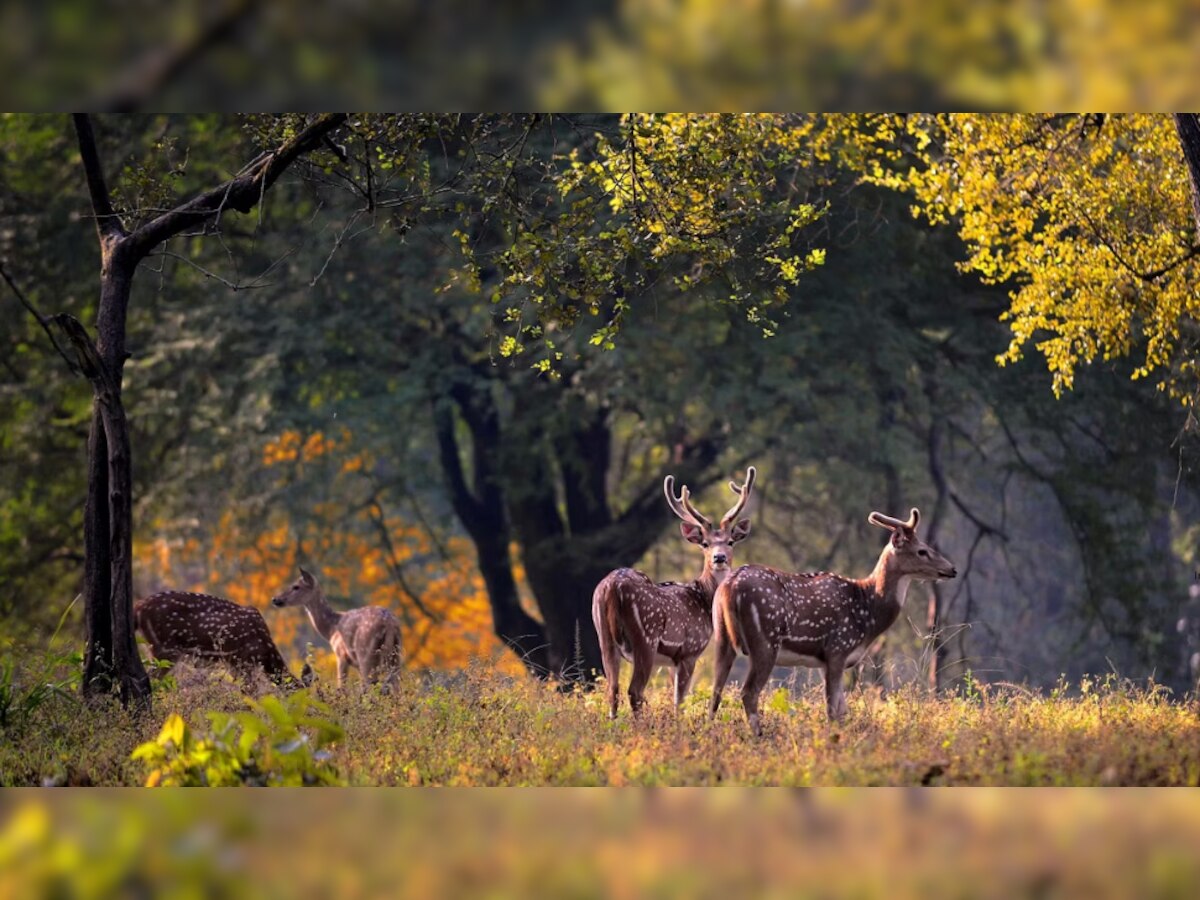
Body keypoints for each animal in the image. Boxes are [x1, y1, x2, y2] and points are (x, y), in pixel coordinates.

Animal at [133, 592, 312, 691]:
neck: (265, 653)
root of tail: (139, 607)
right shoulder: (242, 661)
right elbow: (250, 693)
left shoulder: (233, 664)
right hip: (166, 647)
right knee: (149, 678)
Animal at [272, 566, 403, 696]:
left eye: (296, 586)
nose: (275, 599)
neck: (331, 629)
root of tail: (389, 624)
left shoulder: (341, 655)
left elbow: (341, 687)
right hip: (395, 656)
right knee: (396, 686)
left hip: (366, 654)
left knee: (370, 685)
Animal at [592, 468, 758, 724]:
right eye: (705, 544)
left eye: (730, 541)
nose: (719, 557)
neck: (703, 599)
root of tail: (611, 587)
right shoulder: (690, 650)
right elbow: (680, 701)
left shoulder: (672, 660)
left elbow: (674, 698)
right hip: (645, 638)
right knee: (634, 690)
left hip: (604, 637)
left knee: (612, 689)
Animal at [710, 511, 955, 734]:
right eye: (922, 550)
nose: (952, 569)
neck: (868, 613)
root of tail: (730, 587)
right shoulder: (838, 648)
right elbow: (833, 710)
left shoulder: (824, 660)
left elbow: (842, 709)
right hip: (765, 640)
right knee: (749, 692)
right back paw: (758, 736)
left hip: (722, 636)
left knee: (715, 690)